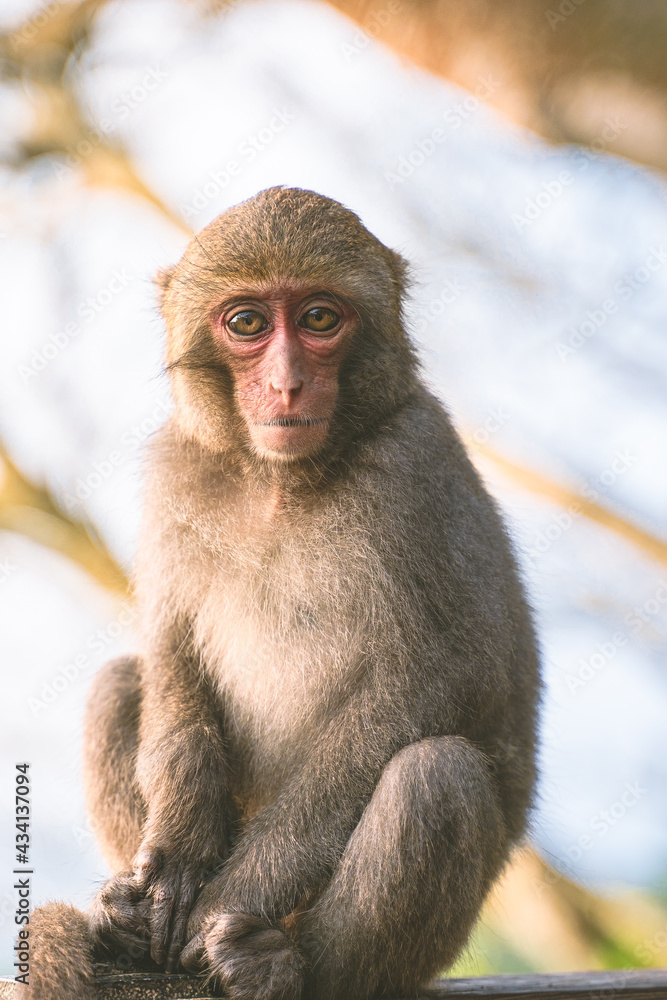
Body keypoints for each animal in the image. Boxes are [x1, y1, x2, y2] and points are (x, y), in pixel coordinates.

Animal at [26, 186, 539, 1000]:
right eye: (247, 324)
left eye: (320, 319)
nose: (288, 382)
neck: (277, 481)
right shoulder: (175, 467)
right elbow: (169, 651)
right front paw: (176, 857)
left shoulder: (414, 462)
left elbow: (443, 676)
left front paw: (227, 899)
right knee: (118, 683)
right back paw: (127, 928)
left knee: (436, 778)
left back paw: (277, 965)